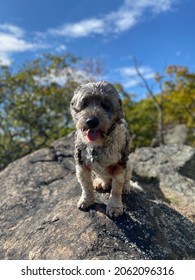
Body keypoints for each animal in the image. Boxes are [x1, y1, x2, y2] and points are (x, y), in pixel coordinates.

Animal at [70, 80, 131, 217]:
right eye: (84, 103)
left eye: (106, 105)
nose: (91, 121)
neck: (97, 145)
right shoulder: (81, 164)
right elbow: (86, 185)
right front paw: (86, 201)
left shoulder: (120, 165)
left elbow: (116, 188)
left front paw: (115, 207)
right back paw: (99, 182)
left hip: (129, 164)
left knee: (126, 179)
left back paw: (126, 187)